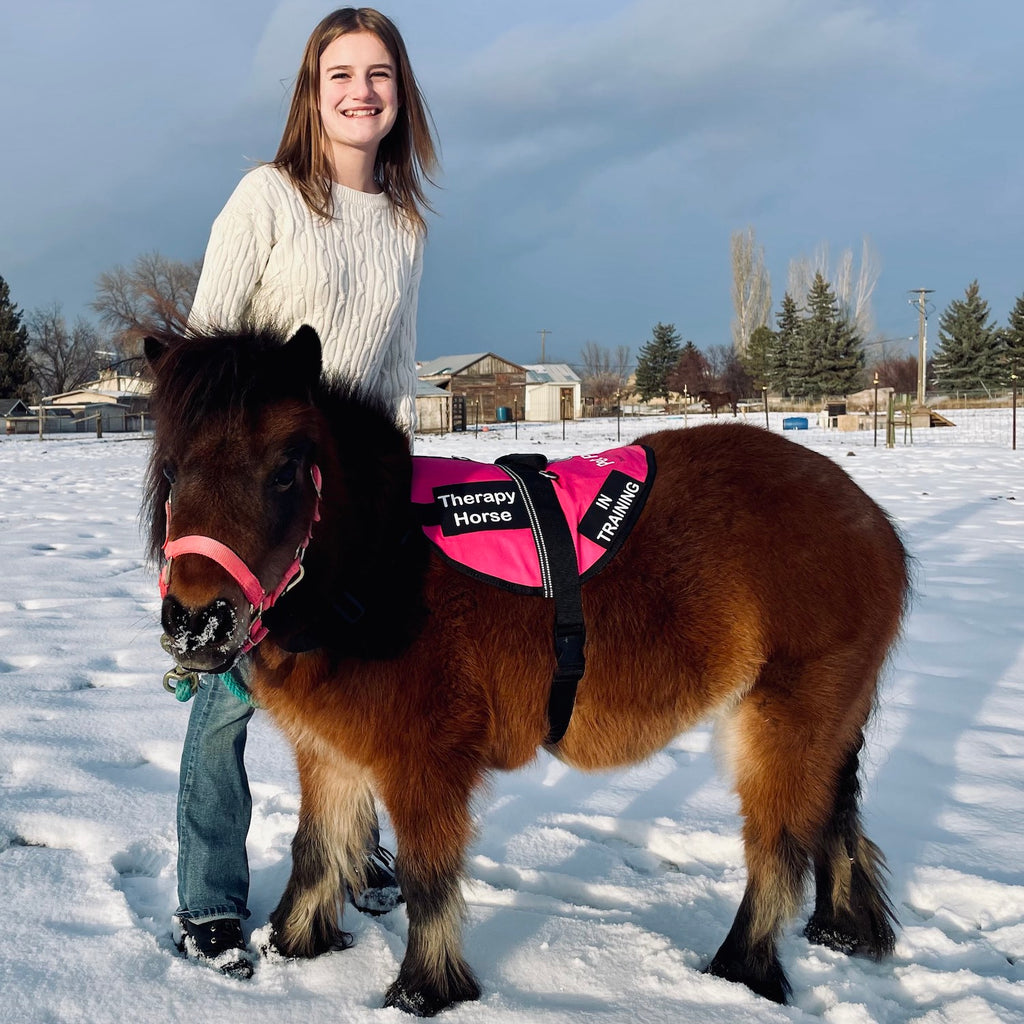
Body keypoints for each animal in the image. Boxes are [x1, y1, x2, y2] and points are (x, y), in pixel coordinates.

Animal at [144, 325, 905, 1015]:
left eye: (285, 468)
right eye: (173, 471)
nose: (195, 623)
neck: (381, 563)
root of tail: (868, 516)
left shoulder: (425, 763)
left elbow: (427, 878)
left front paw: (423, 991)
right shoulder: (330, 754)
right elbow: (315, 851)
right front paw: (295, 948)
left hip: (786, 719)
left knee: (778, 849)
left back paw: (738, 972)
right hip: (820, 725)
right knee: (827, 823)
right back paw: (838, 934)